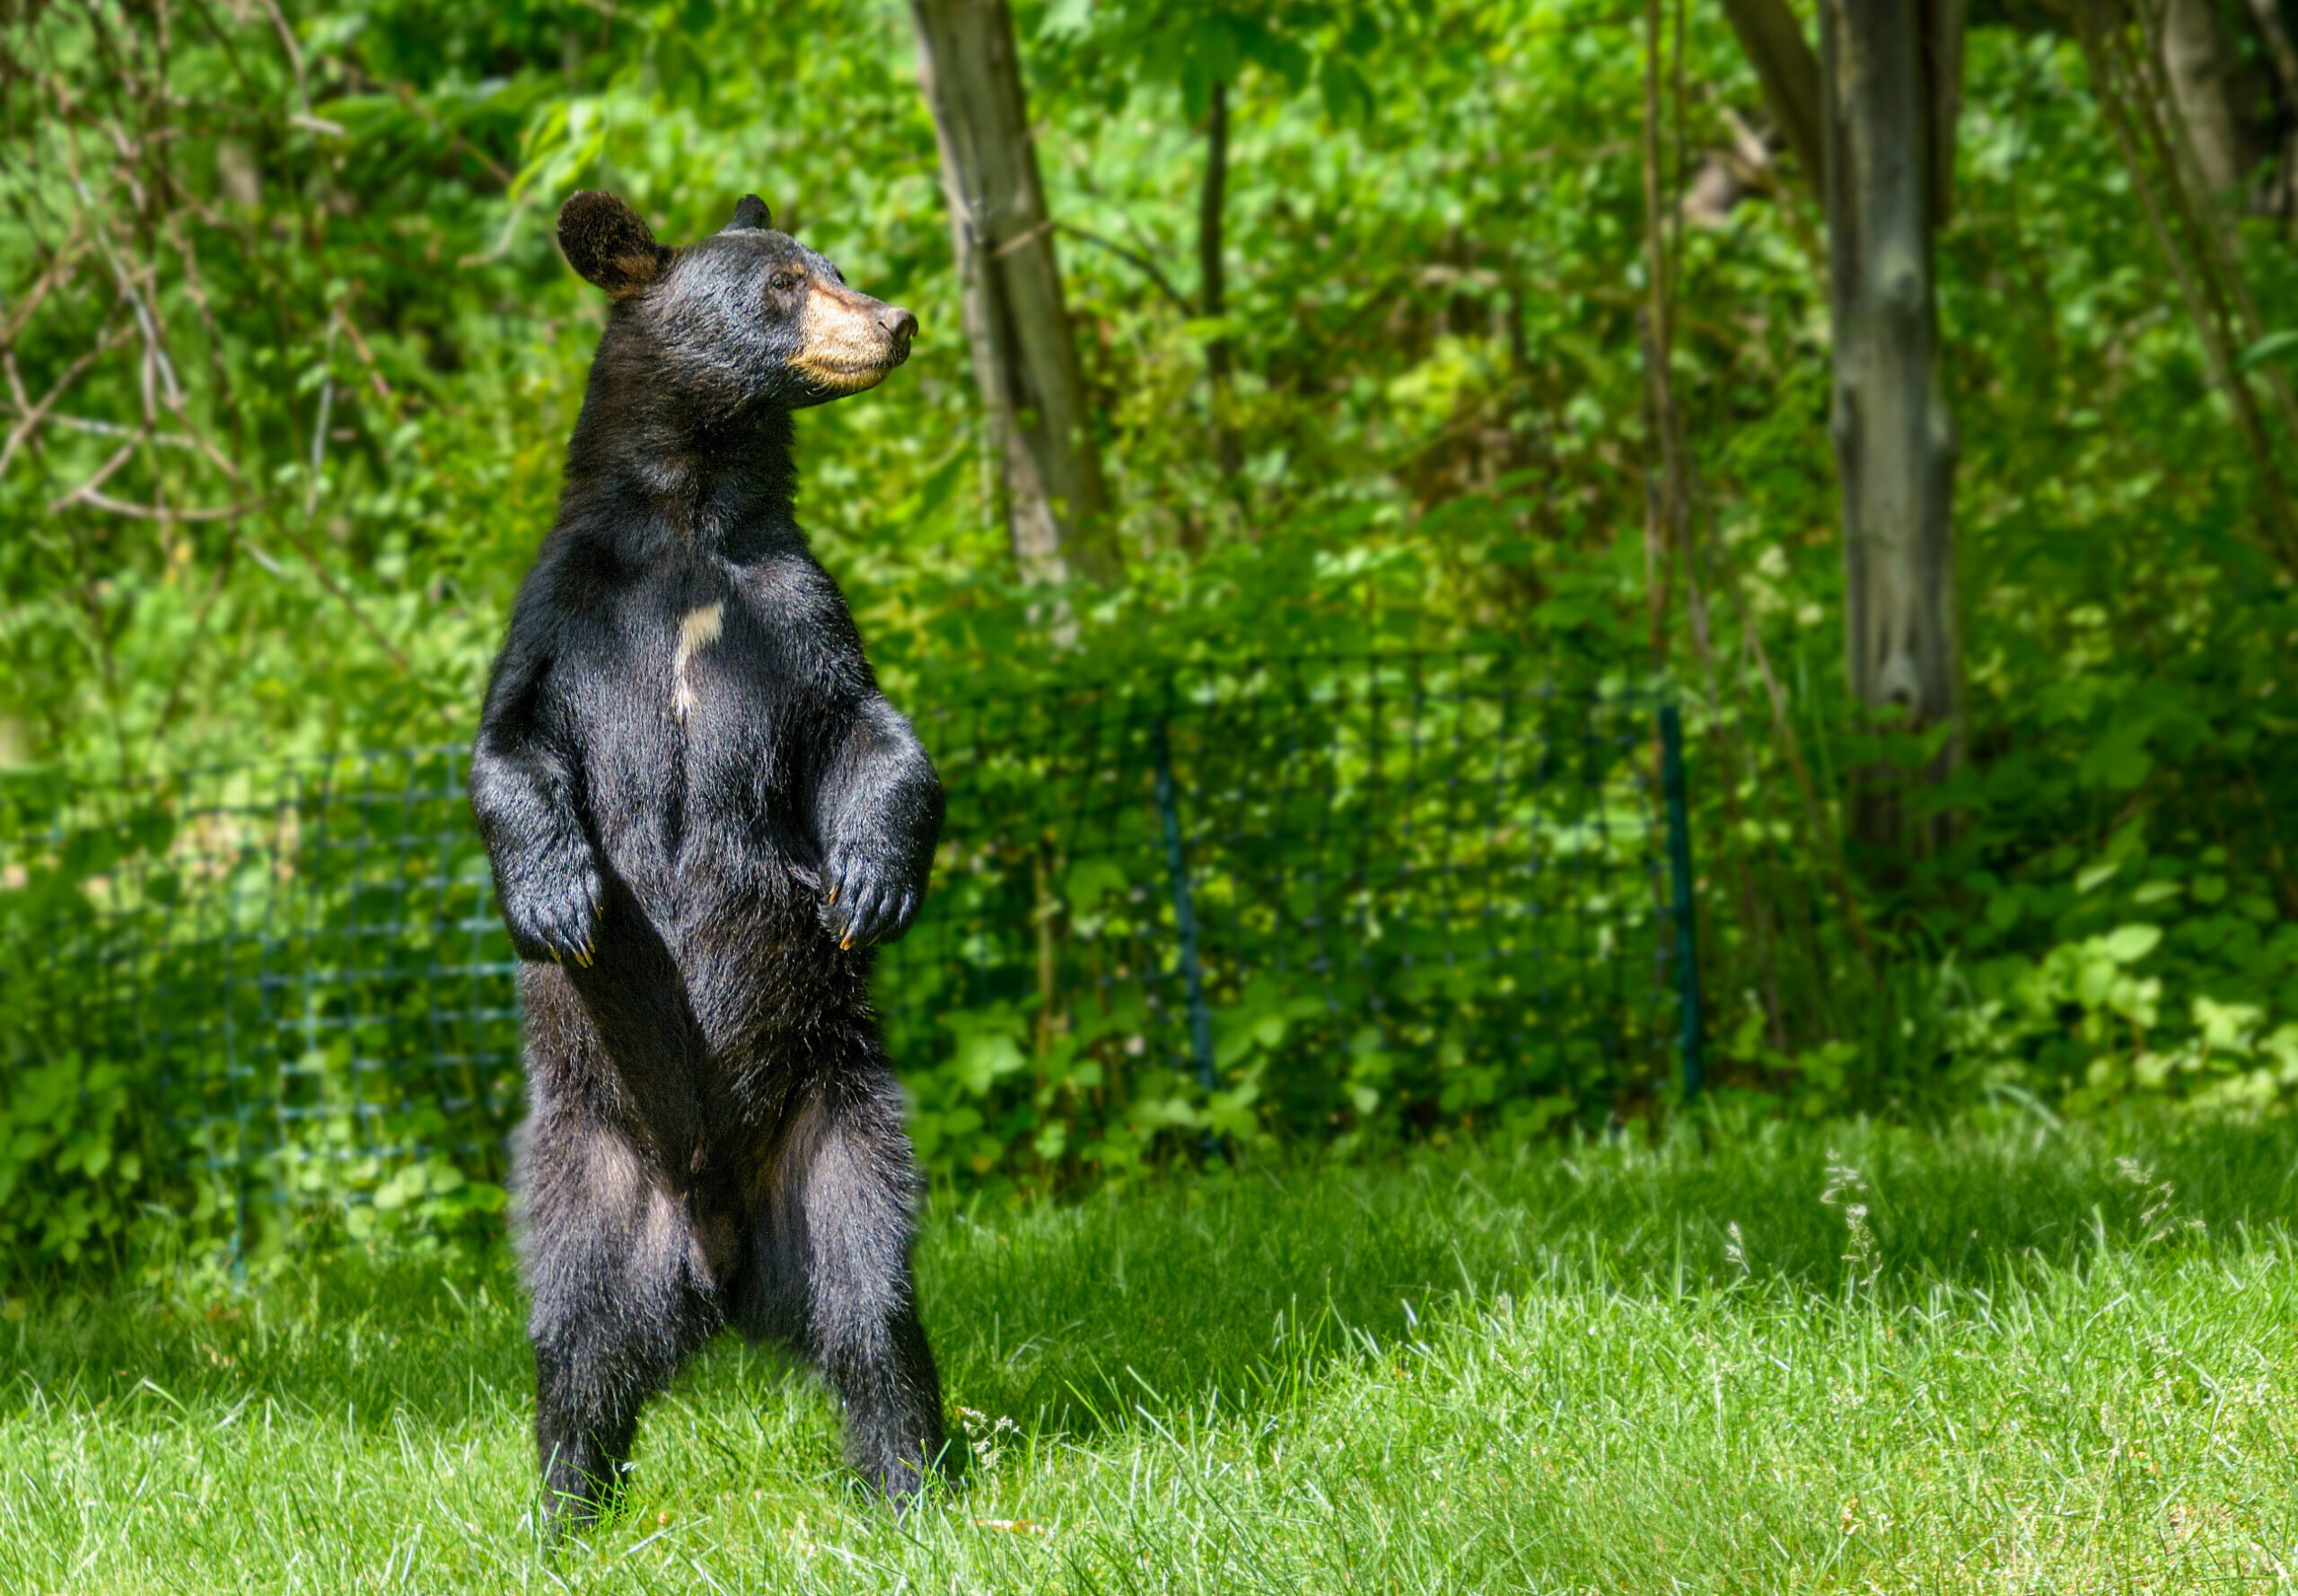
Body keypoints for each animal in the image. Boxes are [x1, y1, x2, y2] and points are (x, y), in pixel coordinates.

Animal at [469, 189, 951, 1535]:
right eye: (784, 284)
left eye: (832, 266)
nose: (894, 319)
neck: (689, 524)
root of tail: (723, 1266)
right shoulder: (569, 611)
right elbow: (510, 745)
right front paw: (561, 895)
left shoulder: (794, 607)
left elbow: (869, 731)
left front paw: (871, 877)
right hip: (592, 1161)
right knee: (577, 1341)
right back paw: (563, 1508)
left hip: (837, 1126)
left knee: (871, 1305)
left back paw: (910, 1484)